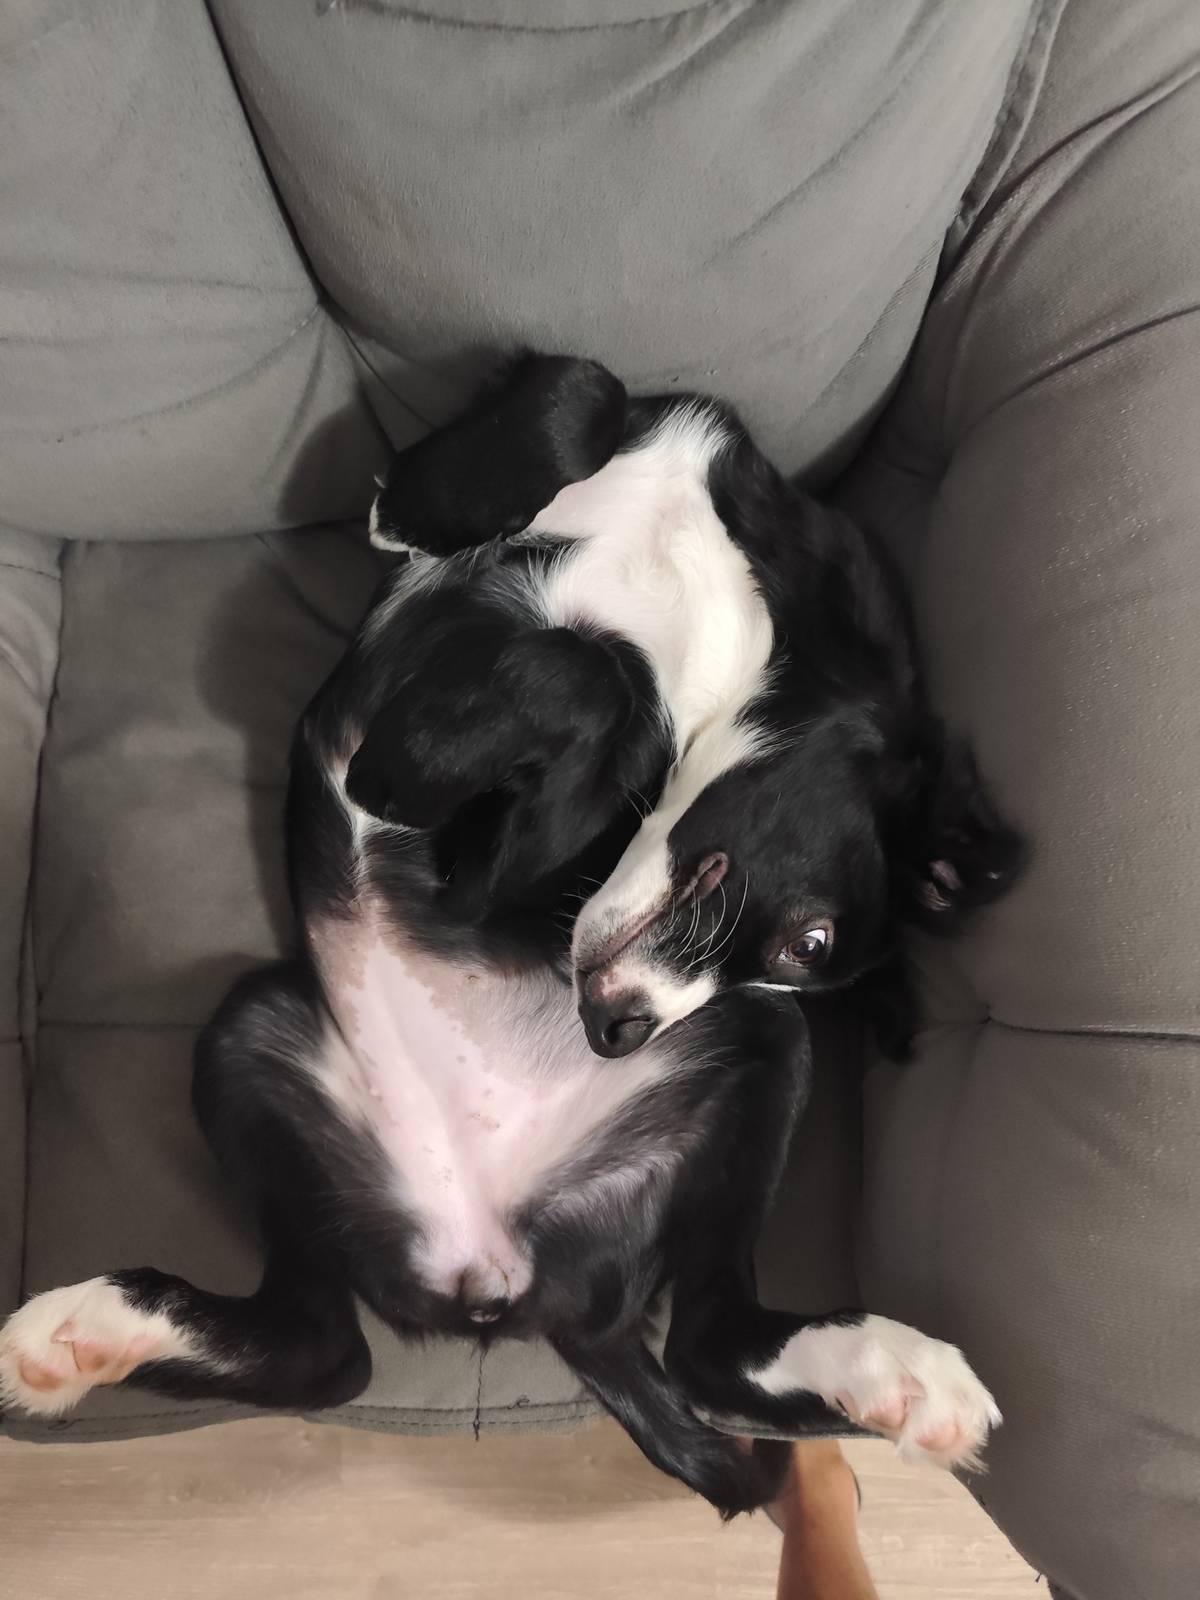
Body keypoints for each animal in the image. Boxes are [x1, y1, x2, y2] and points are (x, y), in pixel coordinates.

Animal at [0, 356, 1023, 1515]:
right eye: (809, 948)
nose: (617, 1034)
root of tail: (498, 1269)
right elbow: (580, 395)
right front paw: (424, 504)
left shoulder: (499, 865)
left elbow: (587, 680)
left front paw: (434, 760)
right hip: (250, 1037)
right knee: (328, 1351)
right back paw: (90, 1330)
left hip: (759, 1054)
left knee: (693, 1346)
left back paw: (901, 1373)